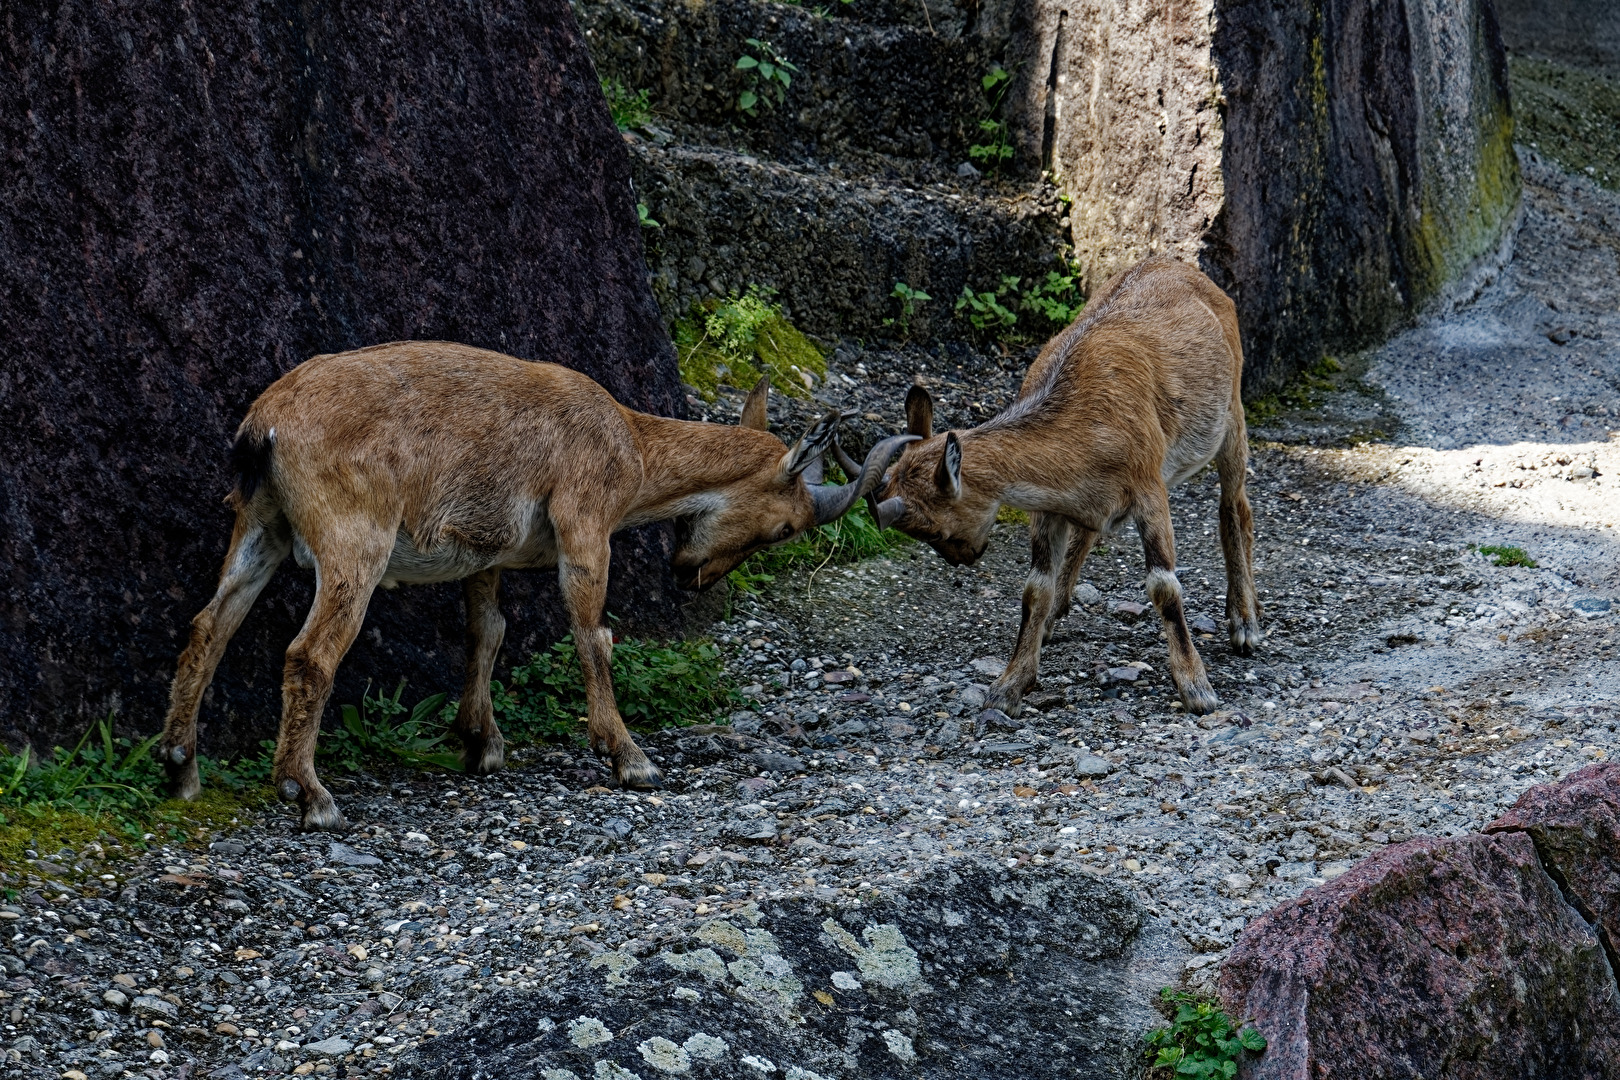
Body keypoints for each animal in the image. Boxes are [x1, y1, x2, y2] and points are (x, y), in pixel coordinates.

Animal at [162, 341, 913, 835]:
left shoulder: (483, 551)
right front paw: (630, 758)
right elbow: (592, 633)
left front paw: (480, 743)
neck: (632, 445)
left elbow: (487, 630)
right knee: (309, 654)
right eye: (784, 526)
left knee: (208, 625)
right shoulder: (585, 517)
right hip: (354, 539)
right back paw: (308, 793)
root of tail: (266, 425)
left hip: (260, 525)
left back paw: (180, 767)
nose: (690, 573)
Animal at [855, 255, 1257, 718]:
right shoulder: (1048, 506)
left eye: (934, 528)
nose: (964, 558)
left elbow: (1163, 585)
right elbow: (1036, 589)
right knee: (1089, 532)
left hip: (1232, 416)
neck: (1082, 419)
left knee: (1235, 507)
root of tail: (1186, 269)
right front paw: (1008, 687)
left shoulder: (1149, 486)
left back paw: (1245, 621)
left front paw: (1197, 689)